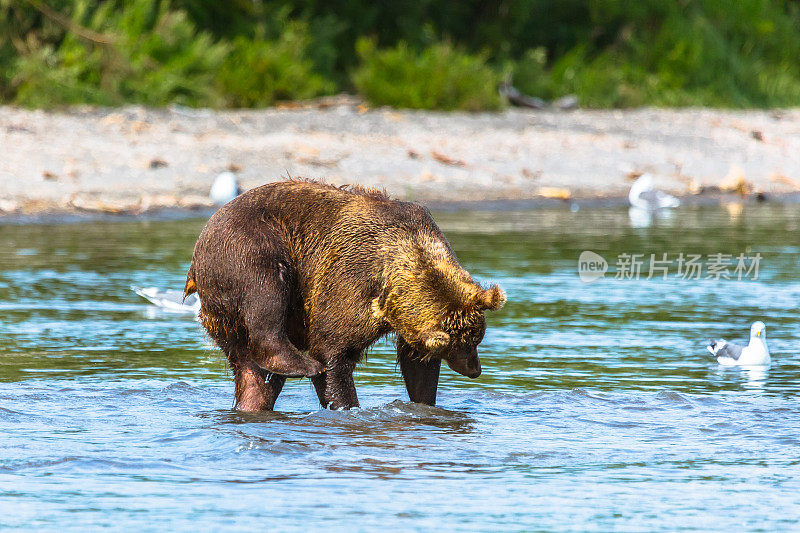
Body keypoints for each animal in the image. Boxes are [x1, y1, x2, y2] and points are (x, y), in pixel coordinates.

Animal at [184, 181, 504, 410]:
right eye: (466, 344)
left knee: (253, 375)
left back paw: (252, 402)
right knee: (266, 292)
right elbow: (333, 353)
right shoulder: (349, 280)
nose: (475, 369)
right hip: (244, 249)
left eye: (474, 339)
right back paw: (298, 363)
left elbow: (418, 365)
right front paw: (345, 404)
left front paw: (425, 404)